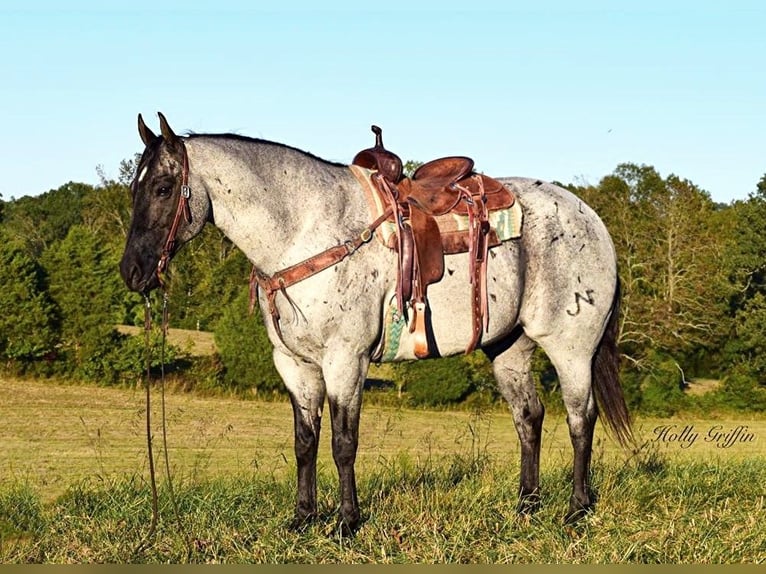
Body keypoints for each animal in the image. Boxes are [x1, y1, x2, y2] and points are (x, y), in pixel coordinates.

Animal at [121, 112, 636, 536]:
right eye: (134, 189)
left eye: (163, 188)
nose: (132, 272)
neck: (305, 231)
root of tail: (591, 219)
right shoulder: (294, 365)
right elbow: (305, 443)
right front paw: (302, 518)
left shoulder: (345, 361)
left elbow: (343, 443)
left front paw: (346, 523)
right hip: (510, 348)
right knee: (529, 417)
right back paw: (526, 506)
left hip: (571, 348)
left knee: (580, 418)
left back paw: (576, 509)